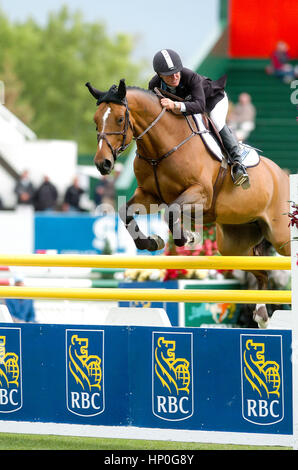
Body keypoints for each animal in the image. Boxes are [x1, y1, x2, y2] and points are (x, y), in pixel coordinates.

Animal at [86, 79, 292, 326]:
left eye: (119, 119)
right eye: (96, 120)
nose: (103, 164)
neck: (161, 147)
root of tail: (282, 174)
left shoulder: (201, 194)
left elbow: (172, 211)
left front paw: (189, 236)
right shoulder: (150, 195)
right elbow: (125, 211)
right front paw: (152, 242)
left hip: (280, 236)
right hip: (235, 244)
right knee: (262, 272)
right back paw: (261, 313)